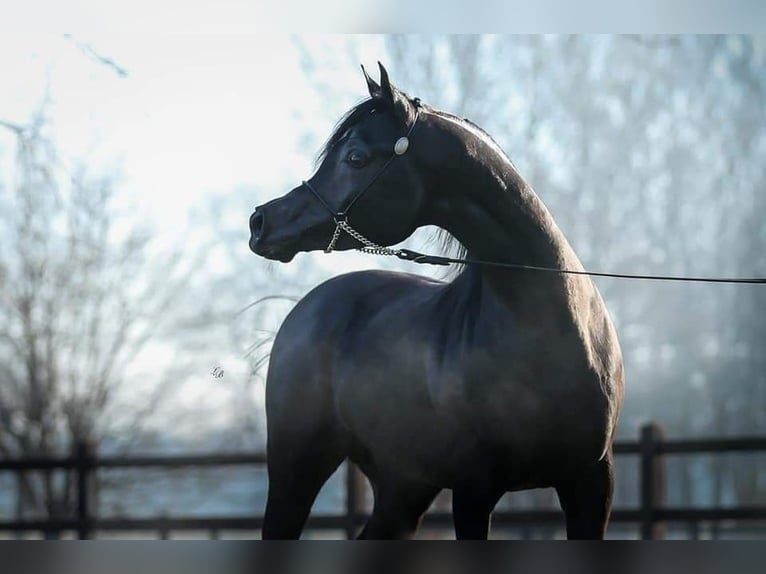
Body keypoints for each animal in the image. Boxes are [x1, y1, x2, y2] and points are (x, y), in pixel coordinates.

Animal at [249, 63, 624, 539]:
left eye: (355, 157)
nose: (261, 221)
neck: (543, 326)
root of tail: (305, 309)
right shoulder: (474, 489)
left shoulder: (591, 484)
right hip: (296, 467)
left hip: (403, 487)